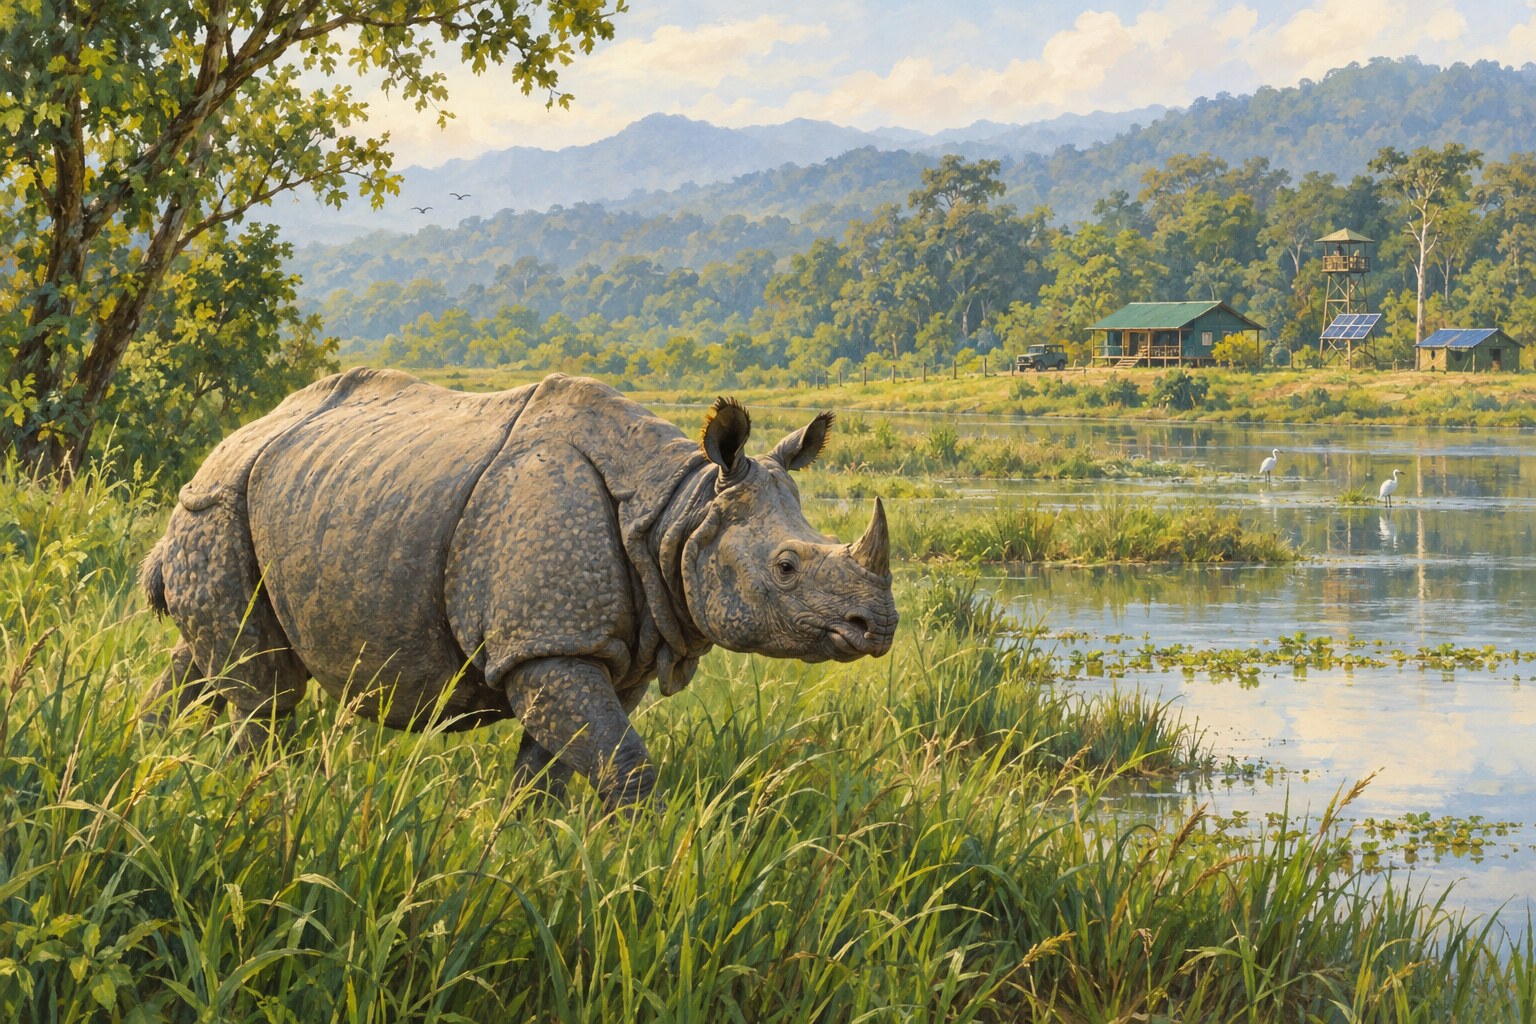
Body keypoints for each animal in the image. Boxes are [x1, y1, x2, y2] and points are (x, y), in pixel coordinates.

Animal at [140, 369, 896, 809]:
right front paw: (654, 859)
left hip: (259, 502)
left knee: (204, 661)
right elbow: (624, 763)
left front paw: (528, 843)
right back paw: (255, 797)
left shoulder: (585, 647)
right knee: (262, 689)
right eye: (787, 567)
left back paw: (152, 758)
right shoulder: (547, 640)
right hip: (218, 505)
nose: (879, 626)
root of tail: (233, 439)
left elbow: (553, 763)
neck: (676, 512)